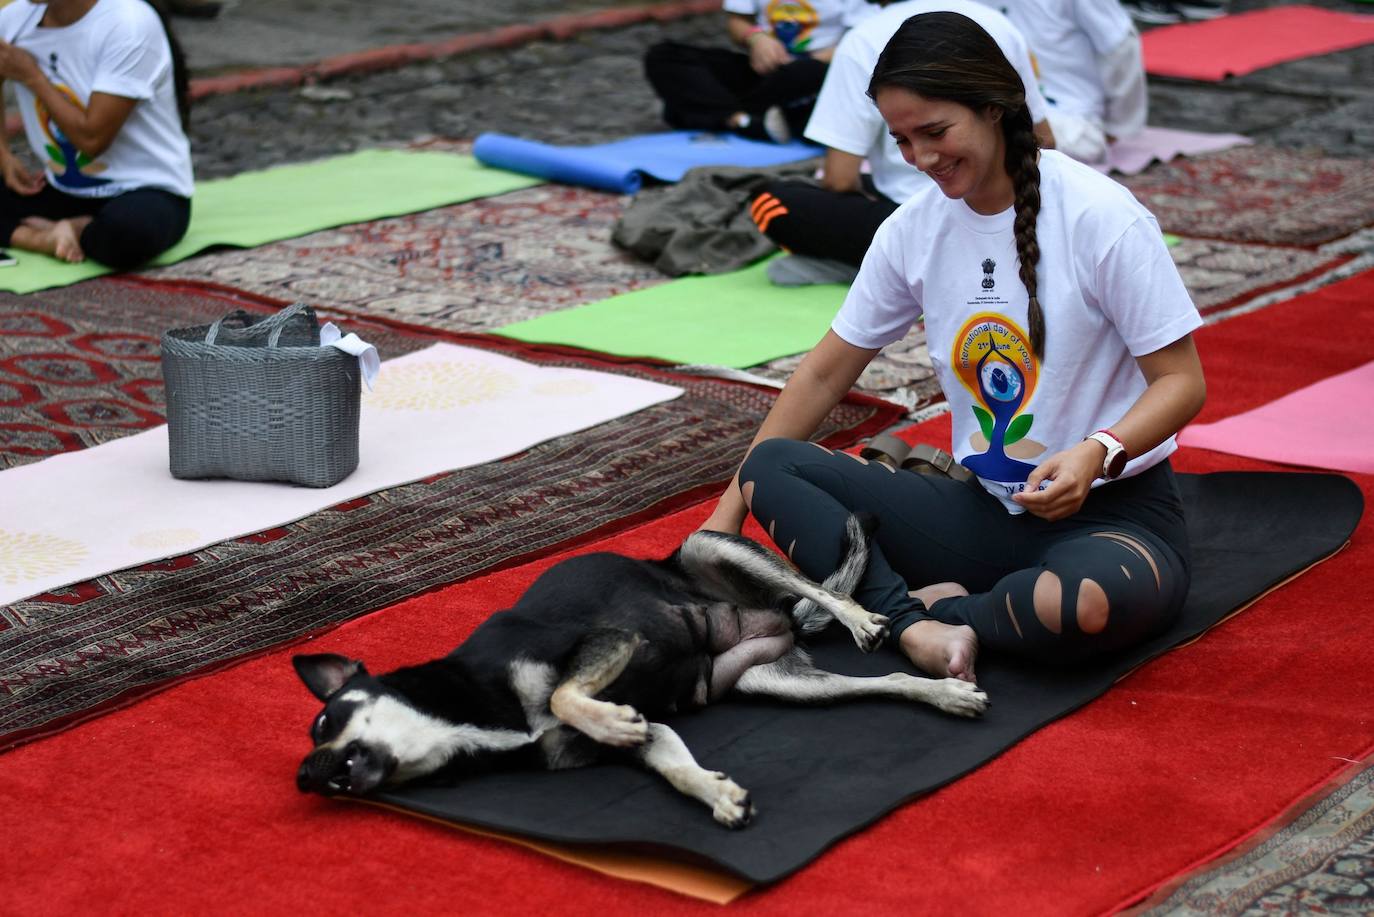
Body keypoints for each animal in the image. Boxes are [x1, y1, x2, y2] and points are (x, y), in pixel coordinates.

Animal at [298, 519, 989, 830]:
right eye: (316, 734)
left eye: (327, 719)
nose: (306, 777)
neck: (470, 713)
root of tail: (778, 620)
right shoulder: (653, 732)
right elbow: (675, 769)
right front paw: (716, 793)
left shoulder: (607, 641)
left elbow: (566, 693)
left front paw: (604, 717)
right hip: (780, 683)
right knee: (881, 683)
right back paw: (945, 694)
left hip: (711, 547)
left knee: (822, 590)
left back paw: (859, 618)